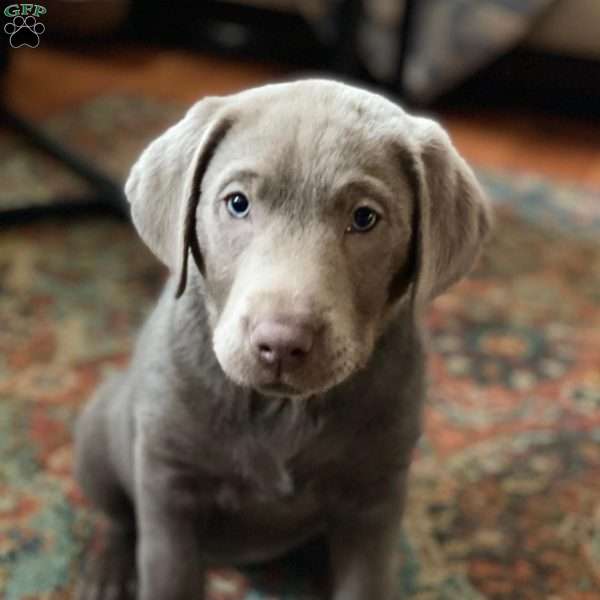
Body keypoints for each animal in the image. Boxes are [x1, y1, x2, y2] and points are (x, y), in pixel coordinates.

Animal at [74, 79, 492, 600]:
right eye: (237, 203)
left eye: (364, 218)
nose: (281, 343)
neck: (280, 410)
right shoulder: (169, 485)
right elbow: (168, 574)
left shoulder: (376, 496)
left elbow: (364, 581)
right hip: (98, 436)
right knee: (117, 516)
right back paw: (109, 571)